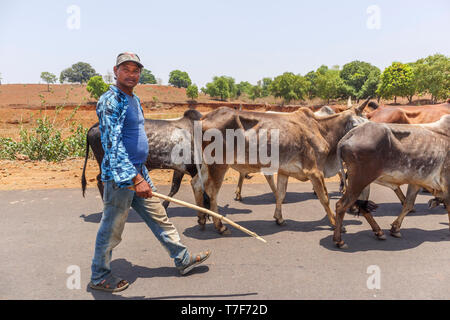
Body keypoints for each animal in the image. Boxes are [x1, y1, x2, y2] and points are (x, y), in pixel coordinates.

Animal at [190, 99, 370, 234]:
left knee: (196, 184)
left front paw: (279, 218)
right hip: (218, 165)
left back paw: (201, 218)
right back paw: (220, 226)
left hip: (205, 164)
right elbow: (324, 198)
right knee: (212, 191)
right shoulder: (315, 172)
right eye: (358, 123)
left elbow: (280, 195)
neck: (321, 129)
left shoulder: (284, 171)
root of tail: (204, 119)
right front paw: (335, 224)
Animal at [332, 116, 448, 249]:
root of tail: (350, 134)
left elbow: (408, 204)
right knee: (341, 205)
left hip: (363, 185)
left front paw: (395, 229)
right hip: (358, 182)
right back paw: (339, 241)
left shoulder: (416, 182)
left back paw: (379, 232)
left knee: (363, 208)